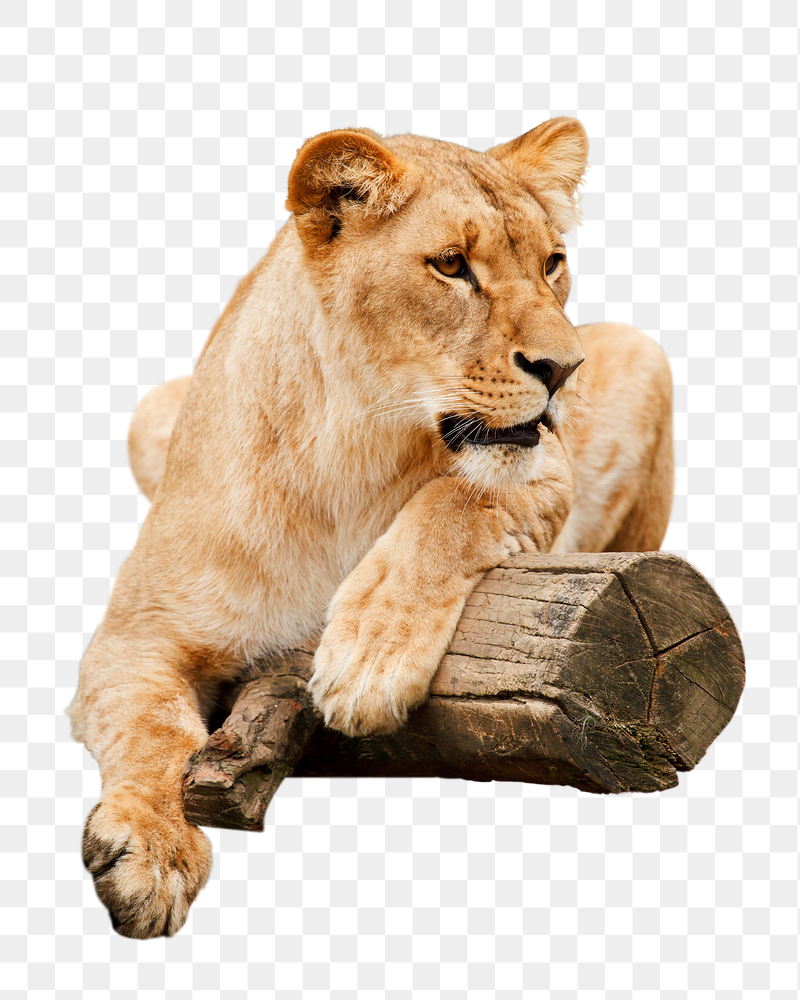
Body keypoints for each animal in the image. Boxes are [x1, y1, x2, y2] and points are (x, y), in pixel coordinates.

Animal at [68, 118, 673, 938]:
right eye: (451, 265)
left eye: (553, 263)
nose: (565, 369)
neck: (351, 452)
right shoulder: (135, 633)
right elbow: (150, 725)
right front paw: (154, 851)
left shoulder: (546, 472)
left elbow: (455, 503)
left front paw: (367, 659)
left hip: (645, 355)